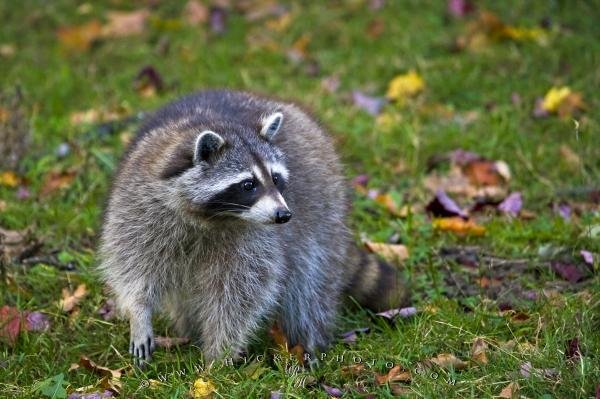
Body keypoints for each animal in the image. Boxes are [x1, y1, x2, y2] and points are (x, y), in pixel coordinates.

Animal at [98, 90, 408, 366]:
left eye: (275, 178)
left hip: (324, 216)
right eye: (248, 184)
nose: (284, 215)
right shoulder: (142, 203)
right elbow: (133, 262)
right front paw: (139, 313)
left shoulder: (256, 239)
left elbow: (242, 291)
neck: (211, 216)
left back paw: (307, 341)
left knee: (309, 284)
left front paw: (219, 354)